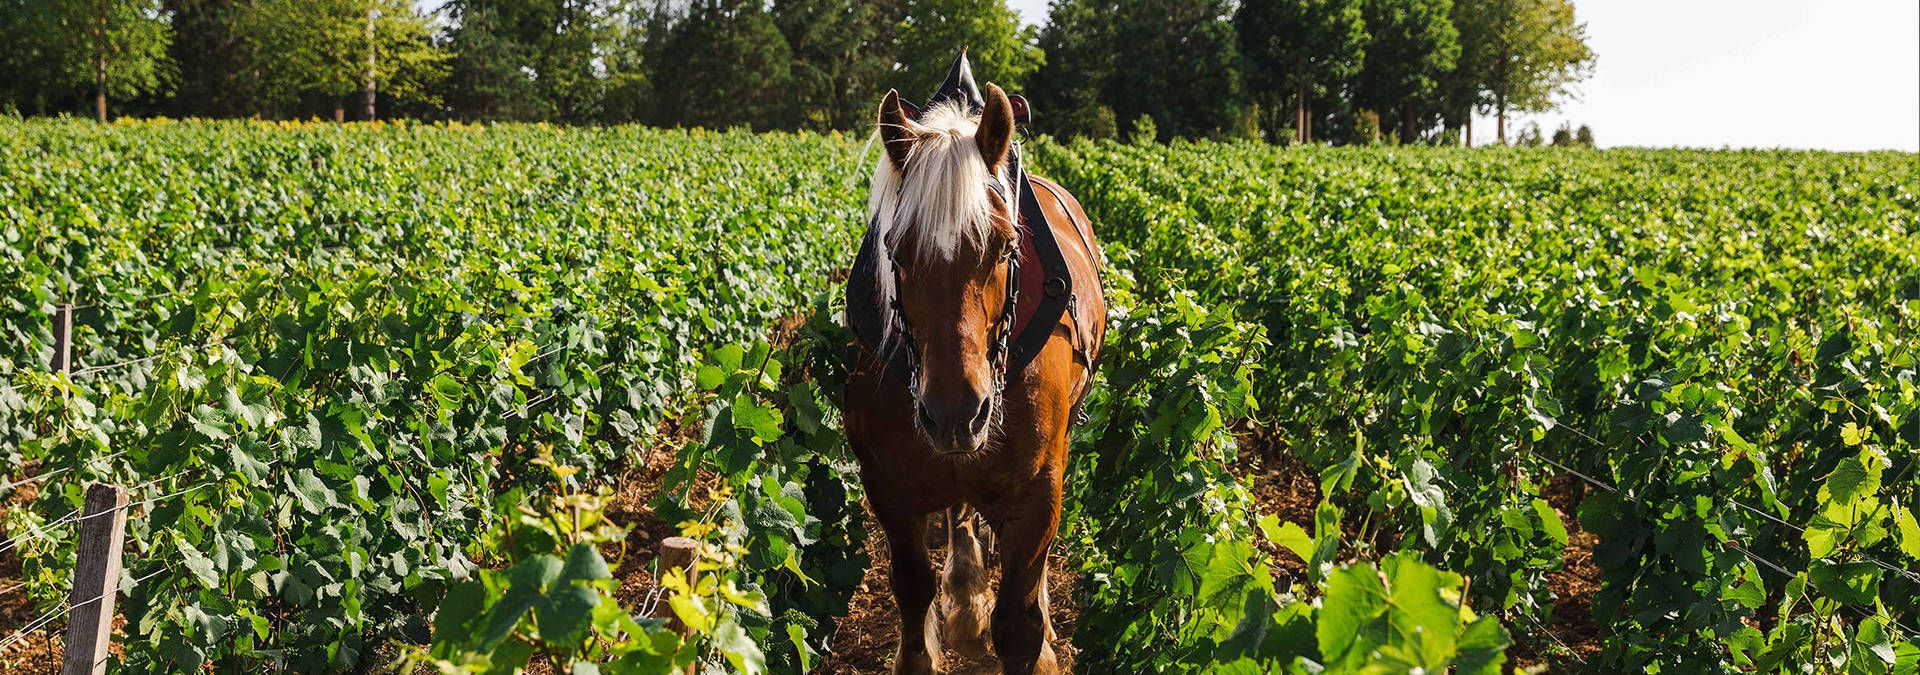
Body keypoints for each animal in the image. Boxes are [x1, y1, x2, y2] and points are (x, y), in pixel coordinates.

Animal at [844, 52, 1105, 675]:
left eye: (1005, 247)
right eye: (897, 251)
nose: (955, 414)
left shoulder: (1038, 488)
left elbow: (1019, 623)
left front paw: (1034, 637)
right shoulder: (887, 484)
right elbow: (913, 591)